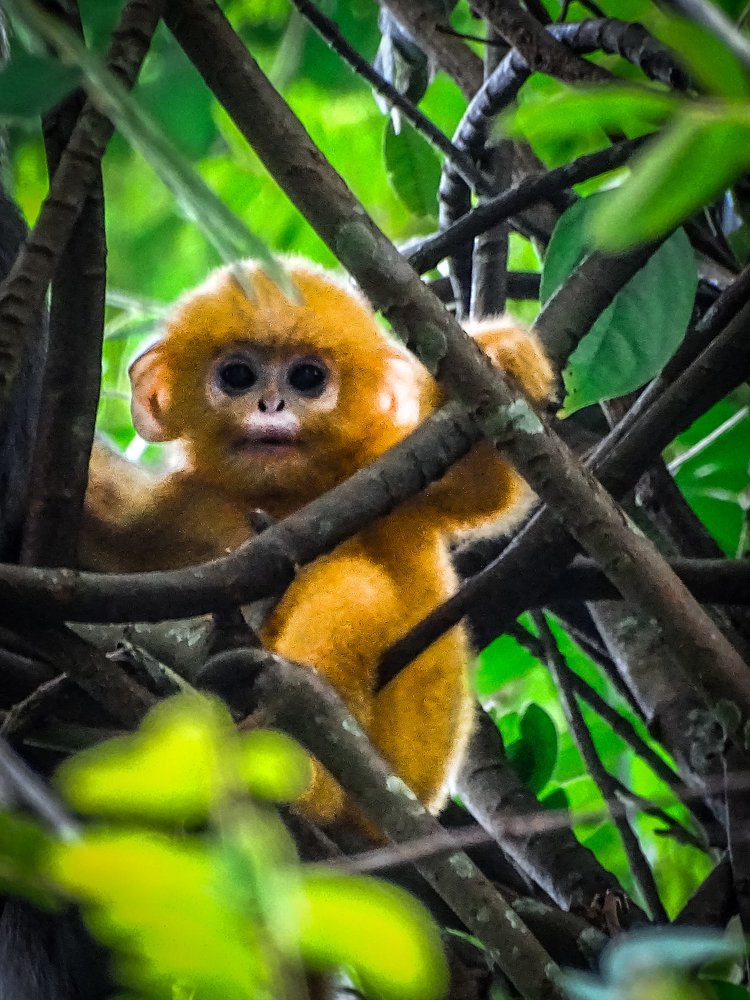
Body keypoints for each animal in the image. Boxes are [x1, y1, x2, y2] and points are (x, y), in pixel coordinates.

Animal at [81, 259, 553, 829]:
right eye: (237, 375)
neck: (288, 495)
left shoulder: (383, 467)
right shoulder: (181, 504)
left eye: (308, 378)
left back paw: (301, 774)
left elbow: (478, 485)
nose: (271, 403)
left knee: (352, 587)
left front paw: (507, 355)